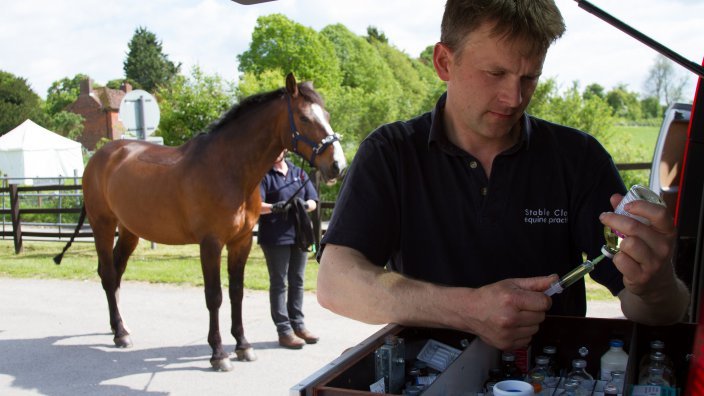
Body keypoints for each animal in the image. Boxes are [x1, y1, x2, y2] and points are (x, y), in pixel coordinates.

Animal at [56, 72, 348, 372]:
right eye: (304, 118)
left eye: (326, 114)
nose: (338, 165)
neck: (229, 170)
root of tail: (101, 157)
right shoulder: (210, 244)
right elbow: (214, 296)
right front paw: (218, 354)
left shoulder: (241, 242)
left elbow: (236, 293)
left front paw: (243, 346)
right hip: (102, 225)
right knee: (107, 273)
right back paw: (120, 333)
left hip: (129, 231)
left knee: (116, 273)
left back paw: (119, 328)